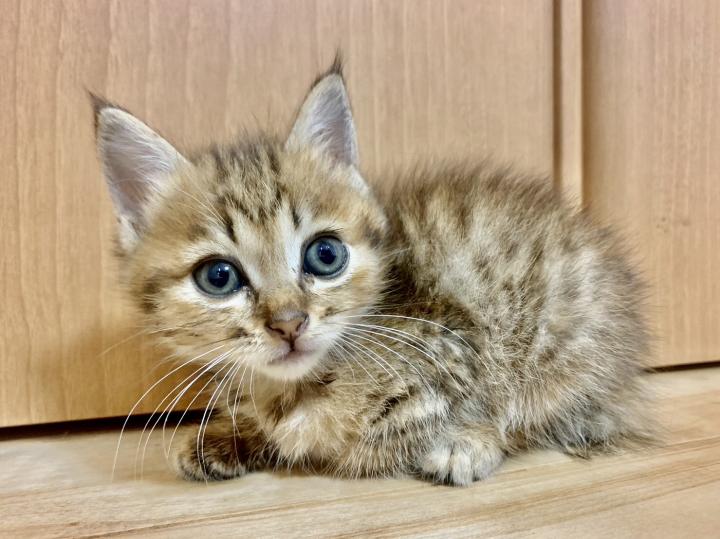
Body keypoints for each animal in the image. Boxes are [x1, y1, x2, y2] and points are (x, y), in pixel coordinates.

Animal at [94, 57, 652, 486]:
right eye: (218, 278)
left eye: (325, 255)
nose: (289, 324)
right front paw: (230, 435)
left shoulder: (459, 339)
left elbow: (429, 421)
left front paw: (466, 440)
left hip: (561, 333)